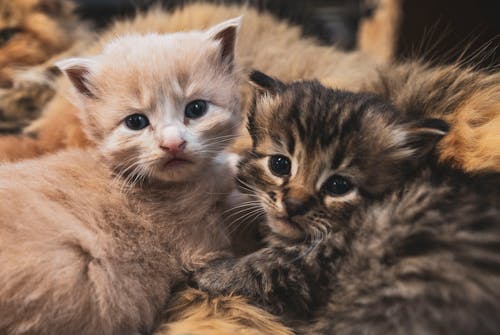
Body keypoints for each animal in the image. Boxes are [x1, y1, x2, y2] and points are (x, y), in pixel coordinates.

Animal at [194, 72, 500, 334]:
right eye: (280, 164)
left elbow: (266, 265)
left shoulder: (317, 260)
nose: (293, 204)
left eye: (339, 186)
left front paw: (210, 274)